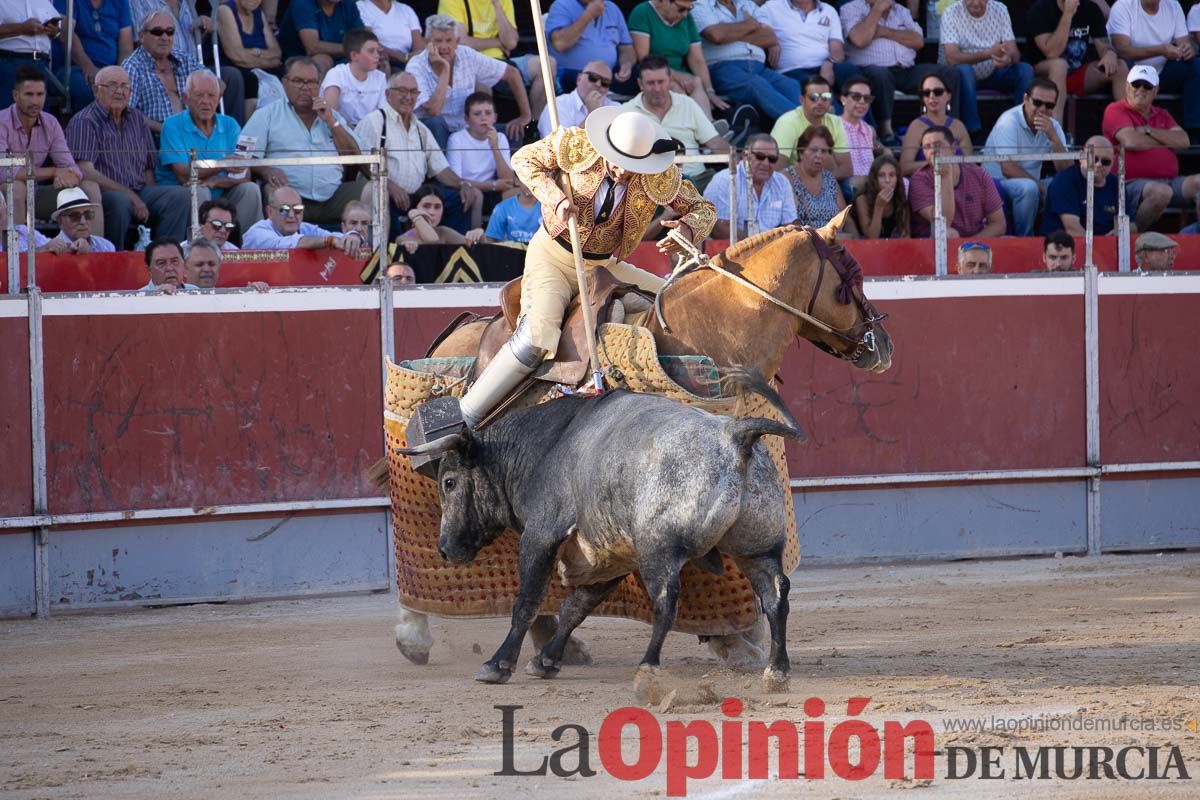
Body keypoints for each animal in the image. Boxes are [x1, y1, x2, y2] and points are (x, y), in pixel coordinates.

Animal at [400, 371, 806, 690]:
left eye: (449, 482)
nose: (445, 548)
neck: (542, 447)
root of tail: (735, 434)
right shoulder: (611, 558)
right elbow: (575, 607)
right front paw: (546, 661)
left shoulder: (541, 535)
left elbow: (527, 602)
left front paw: (498, 665)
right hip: (757, 549)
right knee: (775, 594)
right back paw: (777, 670)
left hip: (660, 548)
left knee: (666, 599)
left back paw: (648, 664)